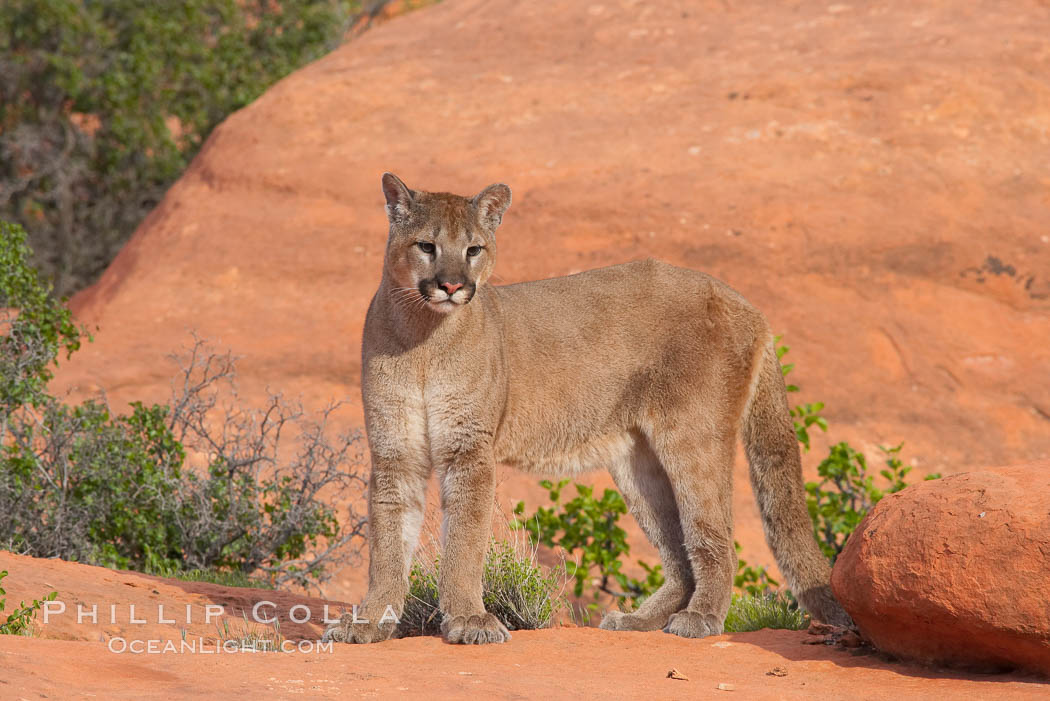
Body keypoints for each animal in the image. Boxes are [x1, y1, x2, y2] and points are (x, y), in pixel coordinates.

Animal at [323, 172, 848, 642]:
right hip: (637, 460)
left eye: (474, 249)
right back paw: (638, 621)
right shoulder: (396, 451)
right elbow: (388, 542)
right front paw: (370, 622)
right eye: (427, 246)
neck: (424, 338)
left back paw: (700, 620)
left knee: (713, 535)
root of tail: (747, 303)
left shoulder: (468, 451)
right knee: (678, 553)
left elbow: (465, 543)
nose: (452, 286)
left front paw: (469, 621)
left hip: (693, 437)